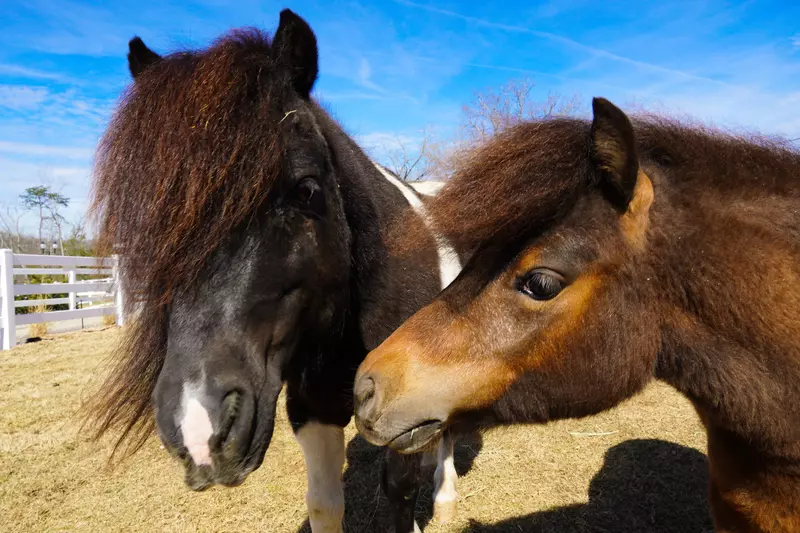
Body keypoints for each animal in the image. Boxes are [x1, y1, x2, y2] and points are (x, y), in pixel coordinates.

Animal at [87, 9, 462, 532]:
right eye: (152, 218)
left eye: (306, 189)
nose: (199, 427)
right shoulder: (314, 408)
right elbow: (325, 503)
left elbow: (401, 490)